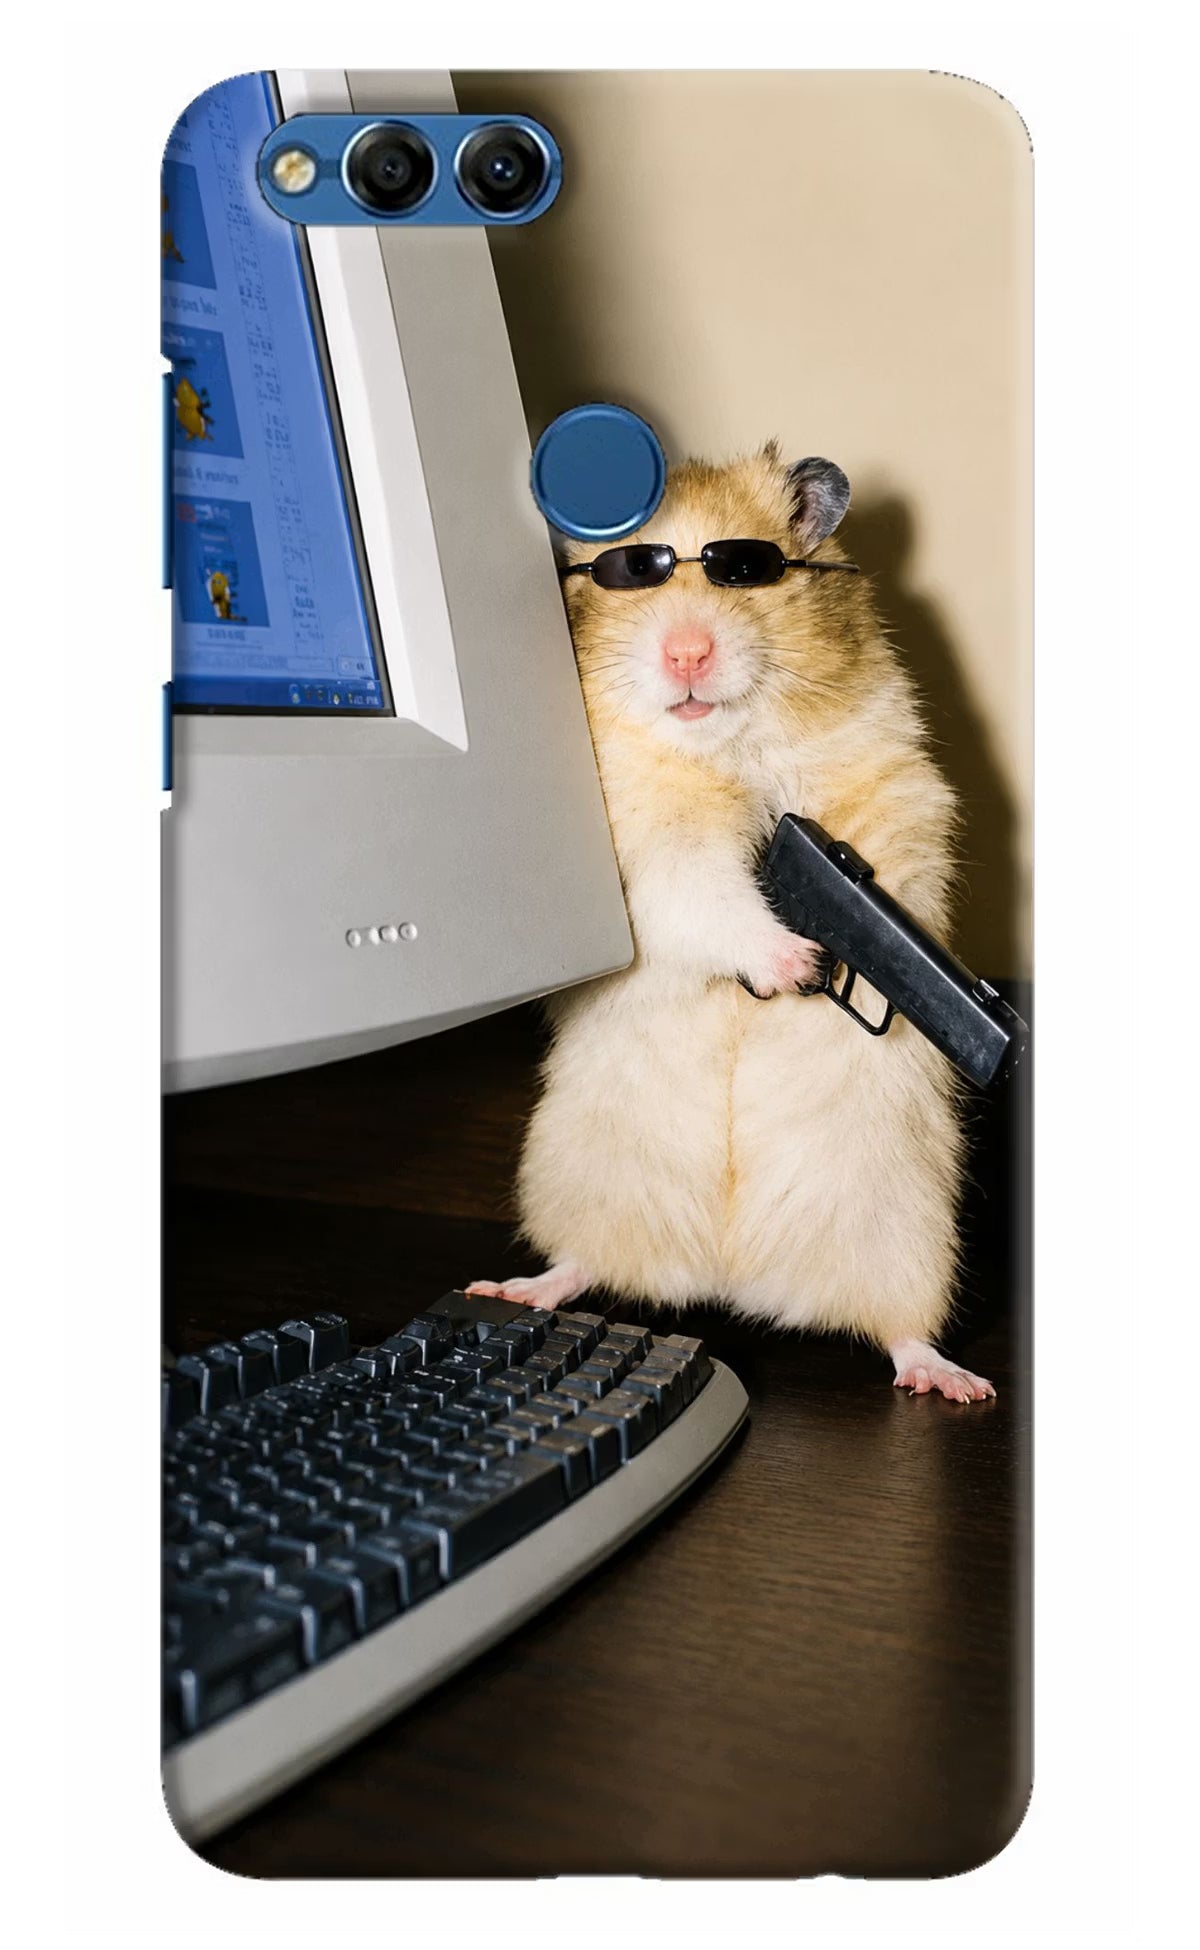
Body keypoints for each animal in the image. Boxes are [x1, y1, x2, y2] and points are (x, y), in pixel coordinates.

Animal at [468, 445, 993, 1402]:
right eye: (628, 574)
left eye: (746, 570)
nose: (686, 652)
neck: (727, 747)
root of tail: (730, 1276)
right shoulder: (649, 850)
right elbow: (708, 895)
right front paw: (798, 963)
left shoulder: (896, 790)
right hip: (580, 1177)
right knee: (582, 1263)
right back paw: (514, 1288)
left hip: (907, 1230)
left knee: (900, 1329)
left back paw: (954, 1382)